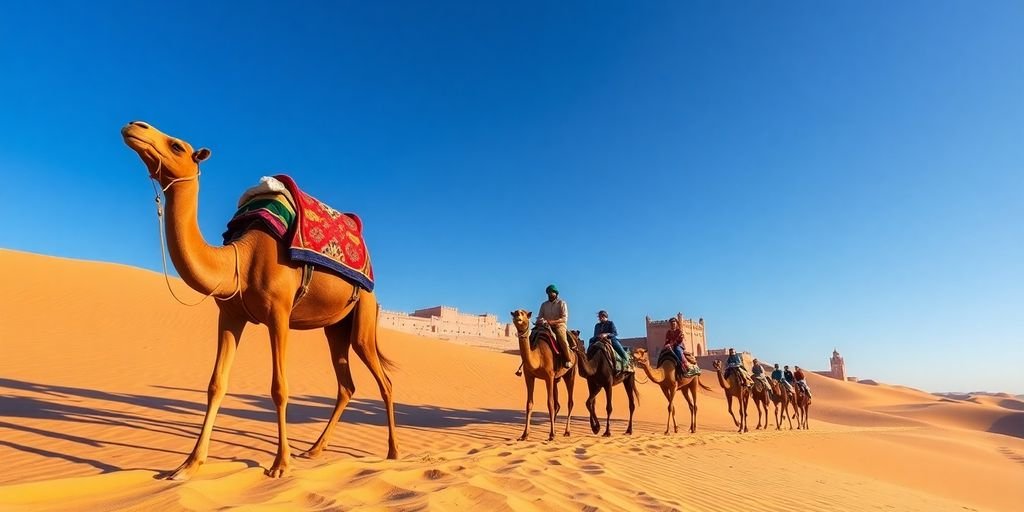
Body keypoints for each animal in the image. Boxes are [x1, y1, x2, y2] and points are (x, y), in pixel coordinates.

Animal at [122, 120, 399, 479]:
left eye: (177, 146)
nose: (134, 126)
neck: (240, 260)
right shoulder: (230, 315)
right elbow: (215, 384)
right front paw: (188, 465)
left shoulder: (279, 314)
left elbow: (279, 388)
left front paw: (280, 464)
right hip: (335, 327)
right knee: (346, 385)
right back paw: (314, 449)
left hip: (363, 314)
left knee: (384, 380)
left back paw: (393, 452)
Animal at [509, 309, 577, 442]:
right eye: (515, 313)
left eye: (523, 313)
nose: (517, 316)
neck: (538, 356)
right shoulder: (529, 376)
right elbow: (529, 404)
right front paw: (524, 434)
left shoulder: (548, 377)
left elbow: (549, 403)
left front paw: (551, 435)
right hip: (556, 378)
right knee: (557, 404)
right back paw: (555, 429)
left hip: (570, 373)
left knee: (570, 402)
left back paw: (567, 431)